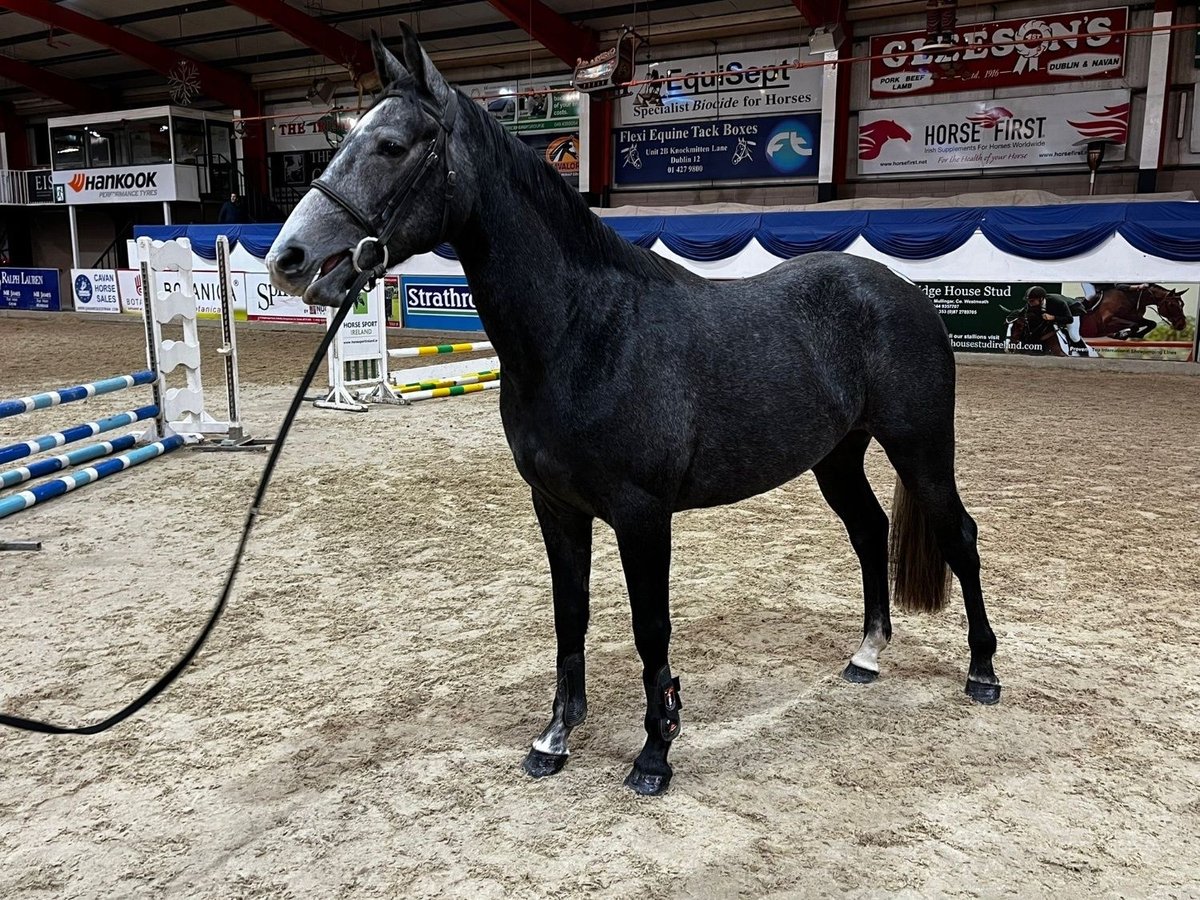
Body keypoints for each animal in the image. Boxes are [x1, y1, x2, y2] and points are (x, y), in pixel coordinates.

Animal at [267, 30, 998, 796]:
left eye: (392, 145)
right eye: (343, 139)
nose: (289, 258)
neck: (584, 332)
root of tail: (905, 293)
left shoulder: (642, 515)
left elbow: (651, 627)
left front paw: (655, 752)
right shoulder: (557, 508)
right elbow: (571, 615)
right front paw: (555, 738)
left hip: (919, 446)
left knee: (960, 535)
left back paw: (982, 672)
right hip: (838, 456)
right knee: (869, 532)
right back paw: (867, 655)